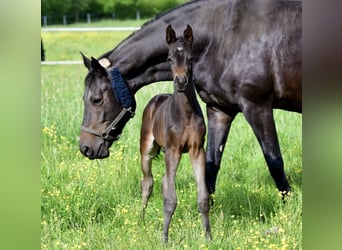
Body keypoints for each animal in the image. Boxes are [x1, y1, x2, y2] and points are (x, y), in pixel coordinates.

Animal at [79, 0, 300, 200]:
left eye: (96, 99)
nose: (86, 148)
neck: (225, 35)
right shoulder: (219, 110)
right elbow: (211, 164)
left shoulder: (257, 107)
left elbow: (274, 161)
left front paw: (287, 205)